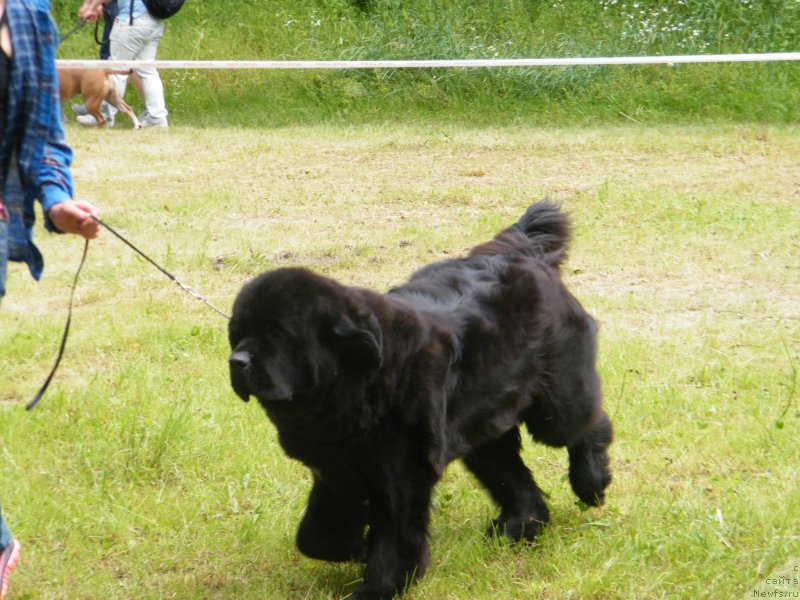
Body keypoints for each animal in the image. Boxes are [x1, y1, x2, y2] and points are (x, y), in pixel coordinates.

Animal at [228, 203, 616, 600]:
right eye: (237, 334)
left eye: (278, 335)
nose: (237, 362)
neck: (352, 385)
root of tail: (524, 251)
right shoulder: (337, 470)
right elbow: (314, 536)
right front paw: (353, 547)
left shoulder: (400, 474)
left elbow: (394, 541)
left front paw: (379, 587)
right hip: (483, 427)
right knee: (513, 477)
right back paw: (518, 526)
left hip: (555, 407)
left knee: (588, 425)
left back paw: (591, 482)